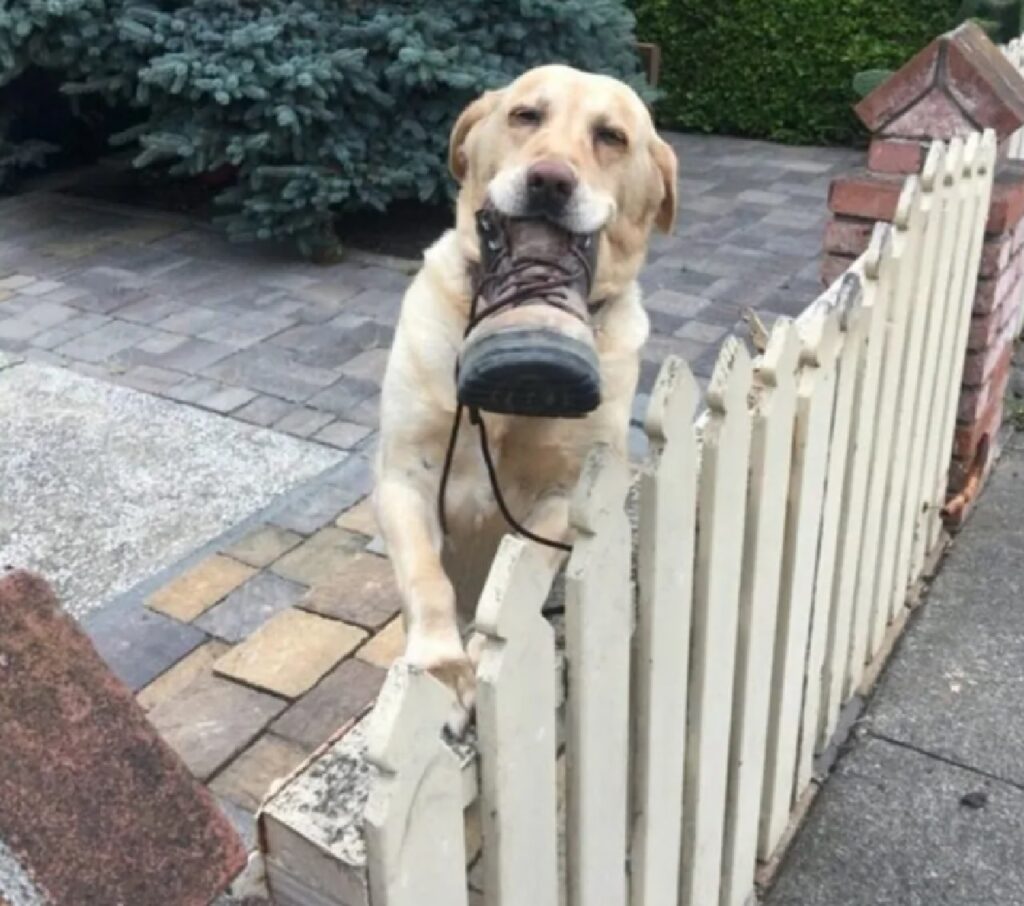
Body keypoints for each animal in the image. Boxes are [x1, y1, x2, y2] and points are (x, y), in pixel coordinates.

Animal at [372, 63, 675, 728]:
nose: (550, 181)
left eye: (611, 136)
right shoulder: (404, 478)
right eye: (525, 115)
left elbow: (521, 567)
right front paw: (442, 665)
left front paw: (481, 654)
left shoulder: (568, 493)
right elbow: (429, 580)